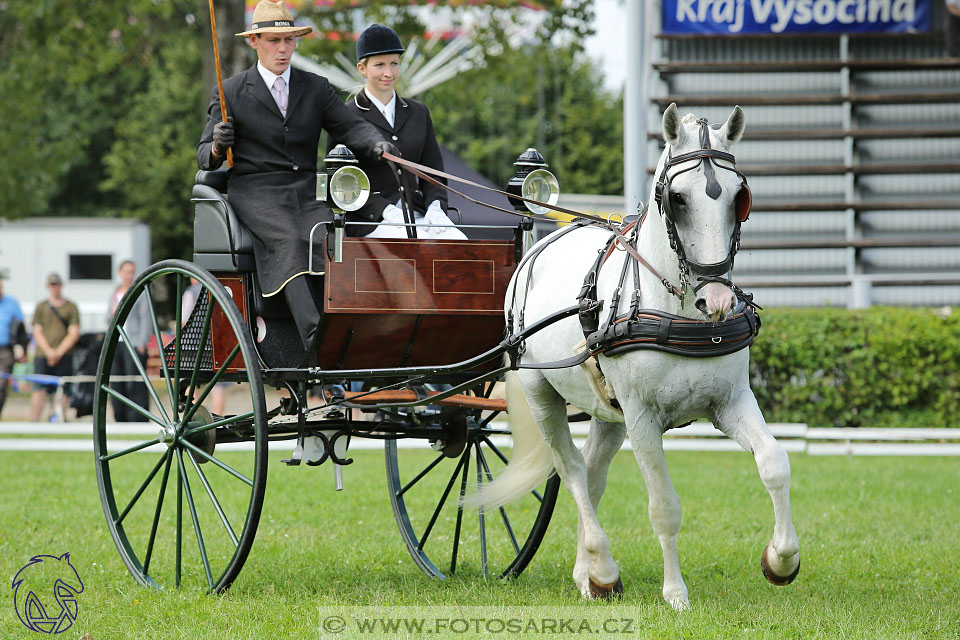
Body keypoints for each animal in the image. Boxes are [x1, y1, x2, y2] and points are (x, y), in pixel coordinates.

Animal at [468, 105, 800, 608]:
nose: (717, 299)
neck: (679, 310)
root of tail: (537, 247)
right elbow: (664, 506)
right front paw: (676, 593)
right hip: (541, 393)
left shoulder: (730, 402)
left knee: (592, 472)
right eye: (677, 199)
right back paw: (603, 568)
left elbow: (774, 463)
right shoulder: (643, 417)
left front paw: (781, 560)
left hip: (609, 411)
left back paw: (589, 573)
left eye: (738, 197)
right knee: (571, 469)